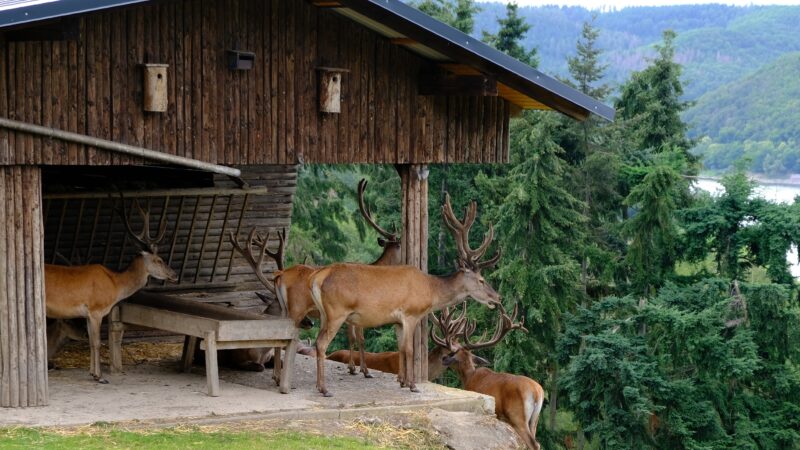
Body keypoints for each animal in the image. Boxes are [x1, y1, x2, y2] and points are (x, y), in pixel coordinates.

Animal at [43, 198, 178, 384]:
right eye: (158, 260)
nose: (175, 275)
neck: (115, 285)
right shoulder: (96, 310)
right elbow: (97, 342)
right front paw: (100, 377)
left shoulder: (88, 314)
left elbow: (91, 342)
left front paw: (92, 373)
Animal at [308, 193, 500, 398]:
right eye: (481, 279)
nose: (497, 298)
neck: (430, 290)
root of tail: (318, 277)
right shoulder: (410, 314)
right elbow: (409, 349)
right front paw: (412, 385)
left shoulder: (398, 321)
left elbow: (400, 347)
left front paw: (402, 381)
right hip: (336, 312)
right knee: (321, 344)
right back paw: (324, 389)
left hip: (324, 314)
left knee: (319, 341)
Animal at [432, 302, 552, 450]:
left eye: (452, 354)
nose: (443, 358)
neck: (469, 377)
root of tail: (537, 392)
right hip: (534, 419)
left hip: (517, 416)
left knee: (533, 443)